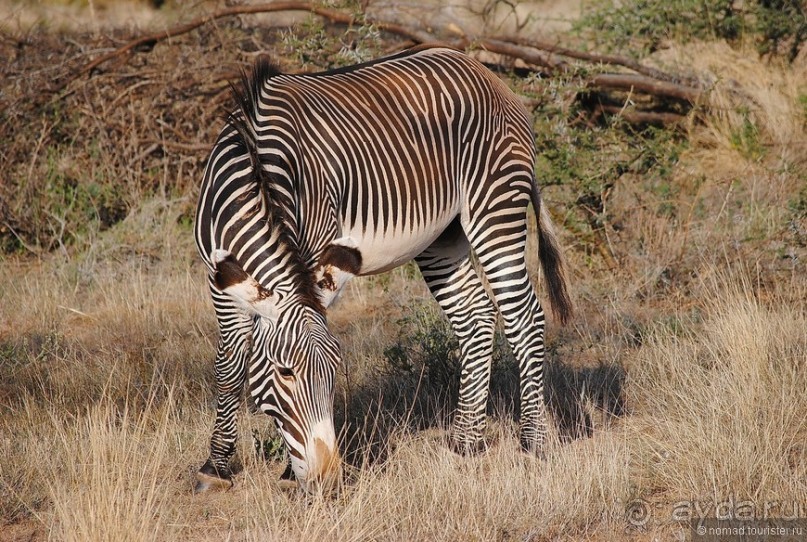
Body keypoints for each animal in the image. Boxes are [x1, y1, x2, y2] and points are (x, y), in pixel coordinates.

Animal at [194, 44, 576, 496]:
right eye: (283, 372)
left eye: (334, 370)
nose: (328, 480)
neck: (256, 171)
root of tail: (485, 71)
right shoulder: (221, 279)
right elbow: (229, 364)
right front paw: (215, 466)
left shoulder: (314, 252)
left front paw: (284, 472)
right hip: (442, 235)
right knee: (477, 318)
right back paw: (465, 444)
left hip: (494, 205)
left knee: (525, 317)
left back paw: (532, 444)